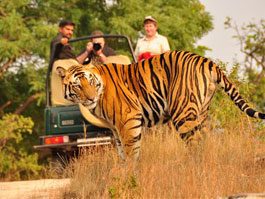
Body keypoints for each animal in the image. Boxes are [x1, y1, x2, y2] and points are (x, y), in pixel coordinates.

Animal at [55, 50, 264, 161]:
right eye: (77, 85)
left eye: (90, 81)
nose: (90, 98)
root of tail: (206, 60)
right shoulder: (115, 128)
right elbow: (122, 152)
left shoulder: (128, 119)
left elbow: (131, 151)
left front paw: (130, 175)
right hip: (202, 113)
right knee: (205, 140)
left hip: (183, 114)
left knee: (195, 144)